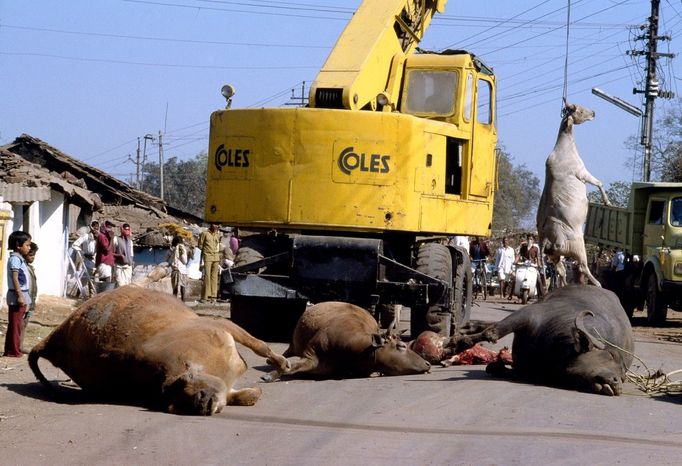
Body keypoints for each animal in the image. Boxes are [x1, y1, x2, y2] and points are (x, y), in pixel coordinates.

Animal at [29, 288, 286, 416]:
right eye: (177, 402)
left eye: (189, 379)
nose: (200, 401)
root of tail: (54, 338)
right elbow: (251, 393)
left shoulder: (222, 327)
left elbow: (260, 349)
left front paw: (280, 366)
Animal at [262, 300, 428, 380]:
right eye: (401, 346)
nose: (427, 363)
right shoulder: (310, 354)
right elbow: (291, 366)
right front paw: (271, 375)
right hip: (294, 344)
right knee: (287, 352)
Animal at [536, 103, 612, 288]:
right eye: (579, 109)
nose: (594, 113)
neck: (564, 147)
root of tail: (547, 241)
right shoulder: (582, 173)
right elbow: (599, 183)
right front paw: (607, 202)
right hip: (578, 247)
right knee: (583, 266)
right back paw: (597, 284)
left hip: (555, 257)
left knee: (561, 272)